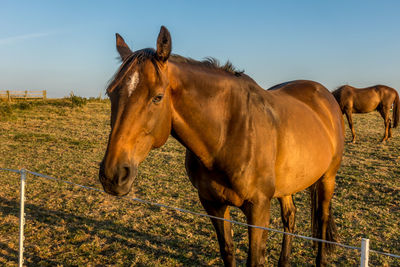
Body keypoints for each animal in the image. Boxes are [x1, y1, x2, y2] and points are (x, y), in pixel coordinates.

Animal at [98, 26, 346, 266]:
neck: (227, 135)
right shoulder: (213, 204)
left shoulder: (258, 209)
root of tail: (325, 94)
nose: (113, 175)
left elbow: (255, 258)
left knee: (322, 219)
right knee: (290, 216)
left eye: (157, 97)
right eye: (110, 93)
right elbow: (227, 250)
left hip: (327, 178)